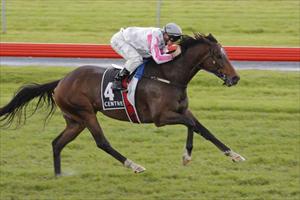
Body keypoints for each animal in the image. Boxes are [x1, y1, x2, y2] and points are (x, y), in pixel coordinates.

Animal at [0, 33, 245, 176]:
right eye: (219, 56)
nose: (235, 78)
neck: (169, 76)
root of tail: (61, 81)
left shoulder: (183, 110)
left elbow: (205, 130)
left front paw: (234, 155)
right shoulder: (161, 118)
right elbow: (191, 126)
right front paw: (186, 157)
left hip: (75, 121)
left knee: (57, 143)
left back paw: (59, 176)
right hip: (86, 113)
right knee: (102, 142)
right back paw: (134, 165)